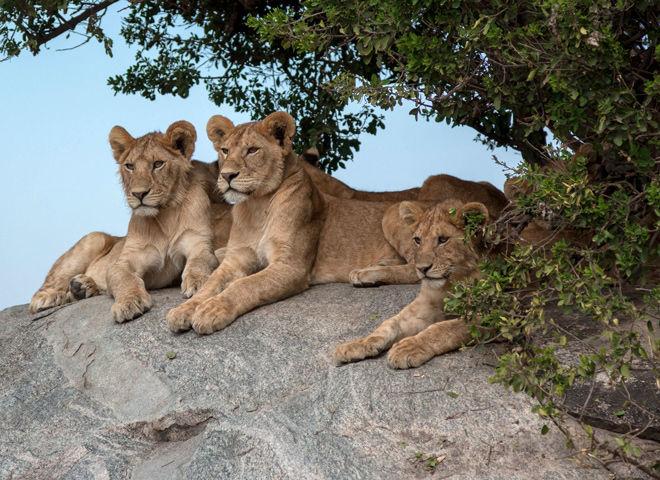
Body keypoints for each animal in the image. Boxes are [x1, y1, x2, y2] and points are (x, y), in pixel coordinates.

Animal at [29, 122, 229, 322]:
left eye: (158, 164)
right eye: (130, 166)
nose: (139, 194)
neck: (164, 215)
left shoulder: (198, 243)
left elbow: (200, 262)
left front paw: (199, 283)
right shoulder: (127, 260)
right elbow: (123, 278)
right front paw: (129, 303)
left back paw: (82, 287)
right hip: (95, 238)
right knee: (44, 289)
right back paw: (48, 297)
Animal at [166, 112, 509, 335]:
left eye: (251, 150)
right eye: (225, 151)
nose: (227, 176)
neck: (257, 206)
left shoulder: (292, 267)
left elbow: (244, 286)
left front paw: (211, 311)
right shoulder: (237, 258)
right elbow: (213, 283)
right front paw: (185, 310)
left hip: (392, 211)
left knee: (420, 268)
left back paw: (367, 274)